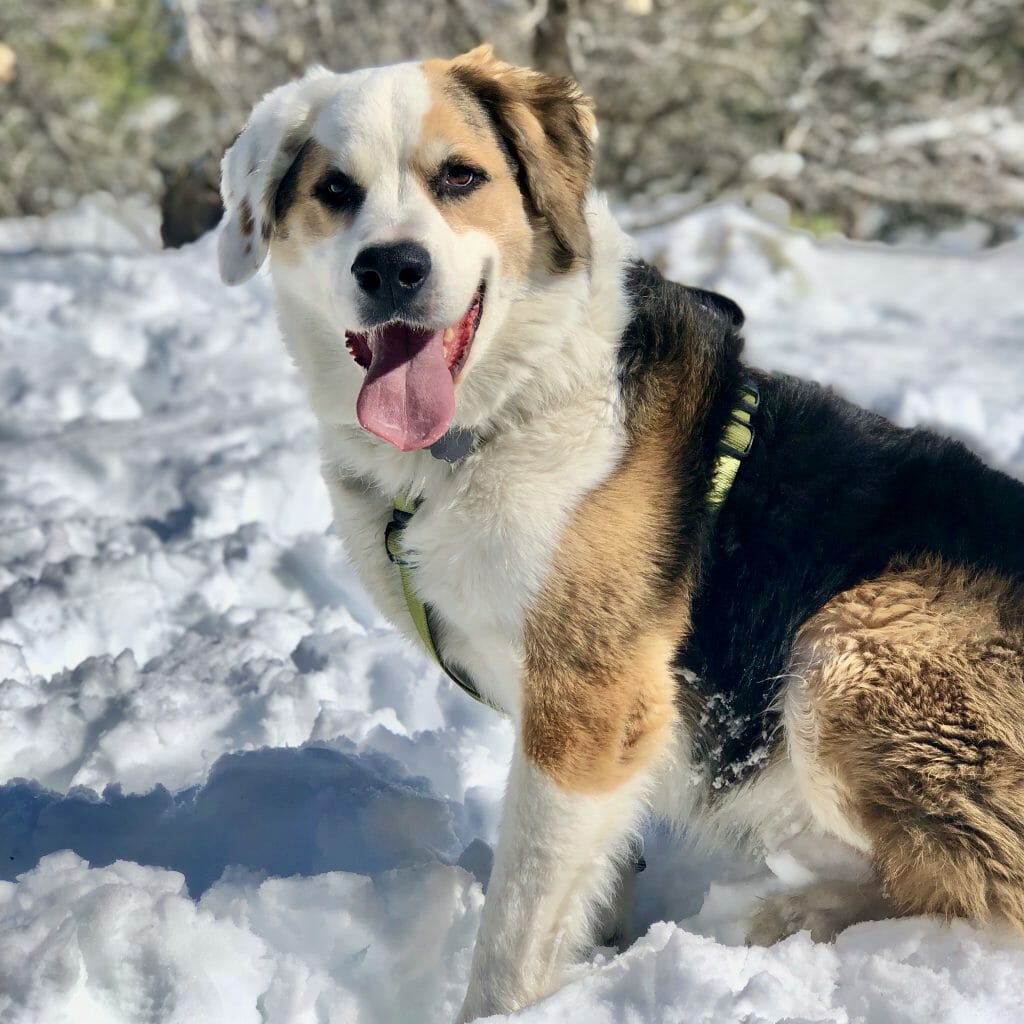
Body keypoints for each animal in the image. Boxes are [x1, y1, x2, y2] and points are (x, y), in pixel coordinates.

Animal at [218, 46, 1024, 1024]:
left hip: (850, 649)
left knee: (981, 882)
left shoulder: (587, 706)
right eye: (334, 190)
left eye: (460, 178)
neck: (500, 414)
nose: (392, 268)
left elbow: (515, 927)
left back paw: (799, 915)